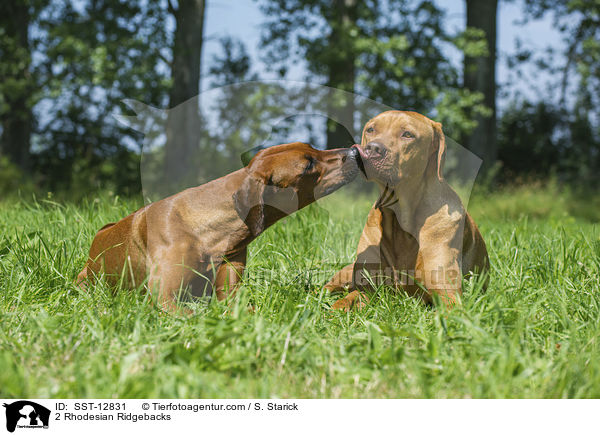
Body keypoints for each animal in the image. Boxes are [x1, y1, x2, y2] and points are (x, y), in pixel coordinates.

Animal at [78, 143, 360, 314]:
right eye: (308, 165)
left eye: (313, 147)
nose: (355, 152)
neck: (207, 231)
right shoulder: (164, 299)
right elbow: (197, 314)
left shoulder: (231, 290)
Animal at [326, 110, 490, 312]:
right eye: (371, 130)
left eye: (407, 134)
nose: (371, 149)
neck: (400, 219)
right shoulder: (367, 290)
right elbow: (343, 303)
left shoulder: (448, 294)